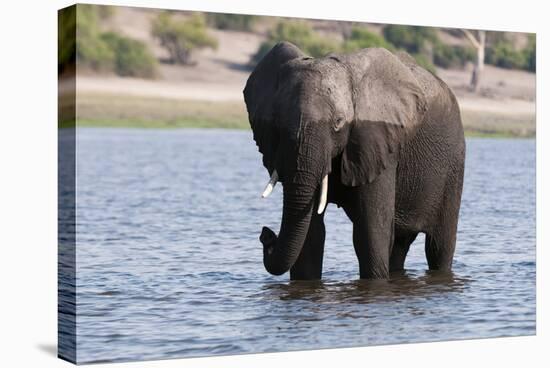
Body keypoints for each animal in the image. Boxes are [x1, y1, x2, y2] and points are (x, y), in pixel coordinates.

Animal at [245, 41, 466, 280]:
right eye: (276, 122)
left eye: (338, 123)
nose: (266, 233)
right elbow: (311, 235)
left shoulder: (378, 142)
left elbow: (370, 233)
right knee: (399, 245)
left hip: (454, 164)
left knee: (438, 247)